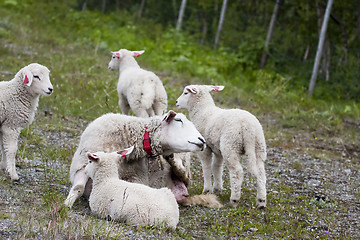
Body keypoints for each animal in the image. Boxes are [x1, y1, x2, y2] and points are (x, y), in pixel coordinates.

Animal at [64, 110, 205, 208]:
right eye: (179, 120)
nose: (202, 140)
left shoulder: (137, 178)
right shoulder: (82, 166)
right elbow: (78, 188)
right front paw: (67, 204)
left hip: (185, 167)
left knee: (183, 175)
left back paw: (174, 162)